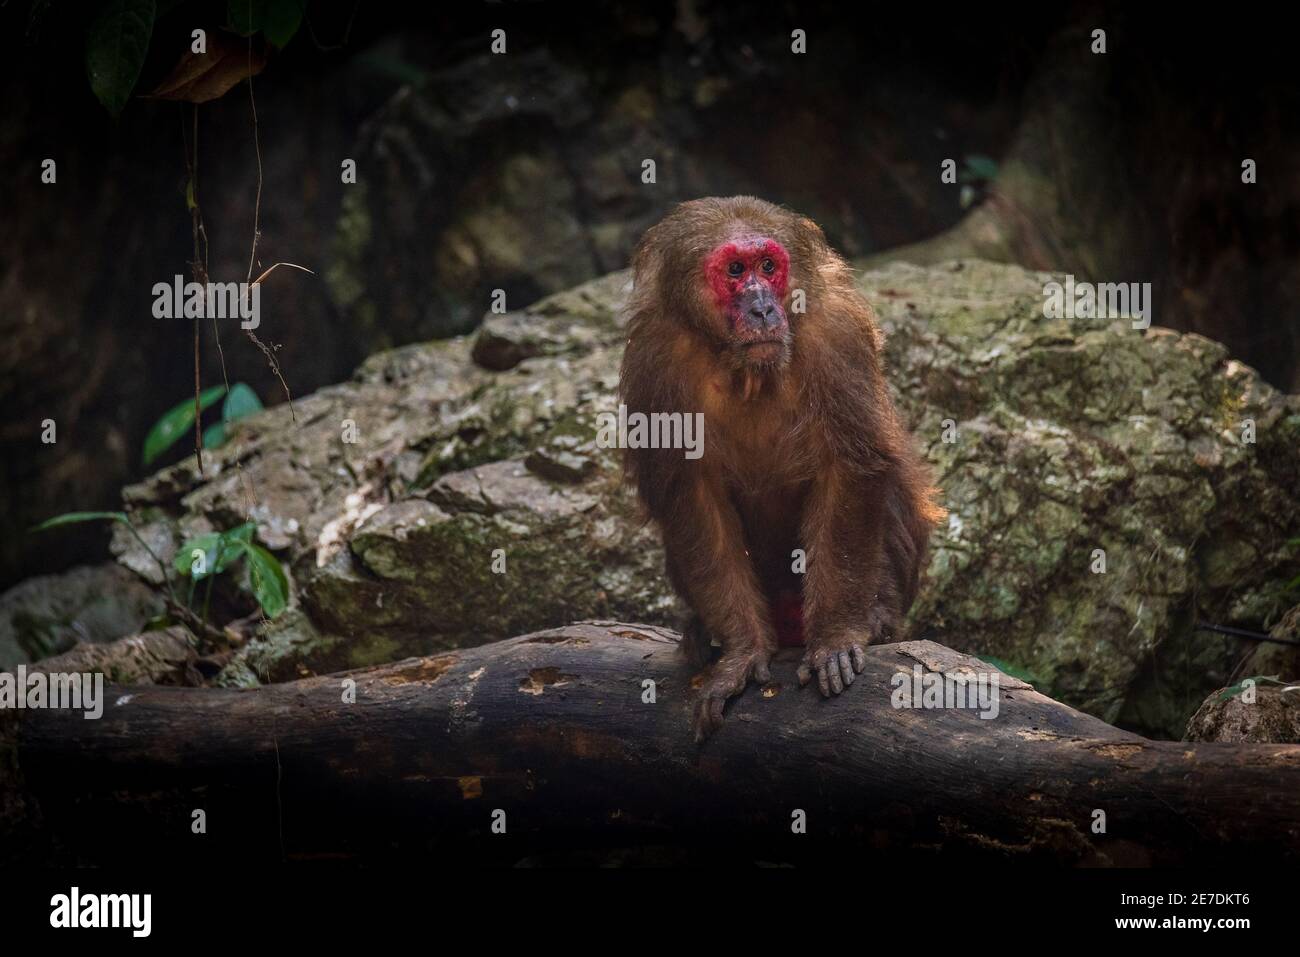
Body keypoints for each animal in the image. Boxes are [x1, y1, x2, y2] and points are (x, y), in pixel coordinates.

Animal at [619, 196, 944, 741]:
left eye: (768, 266)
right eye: (735, 270)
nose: (762, 308)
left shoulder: (838, 334)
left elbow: (851, 469)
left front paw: (835, 635)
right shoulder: (652, 362)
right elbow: (690, 498)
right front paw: (741, 652)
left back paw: (876, 615)